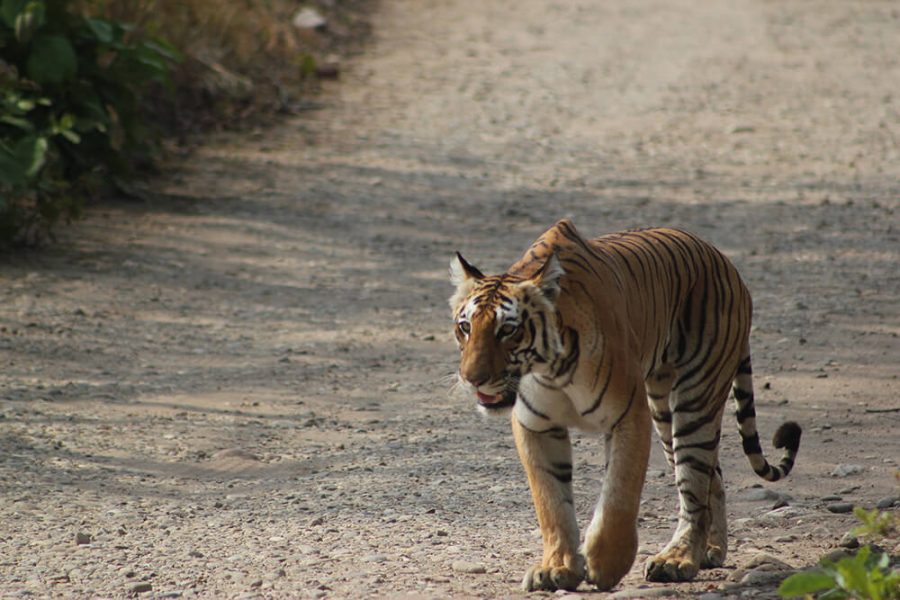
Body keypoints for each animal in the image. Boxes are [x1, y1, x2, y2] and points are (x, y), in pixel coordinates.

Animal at [450, 219, 800, 592]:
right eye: (465, 326)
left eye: (508, 330)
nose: (471, 378)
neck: (551, 370)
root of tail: (725, 262)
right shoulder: (536, 425)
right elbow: (551, 503)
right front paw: (556, 568)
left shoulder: (629, 415)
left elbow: (619, 495)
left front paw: (606, 564)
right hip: (664, 410)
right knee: (712, 479)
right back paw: (710, 550)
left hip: (695, 399)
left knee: (694, 484)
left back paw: (677, 560)